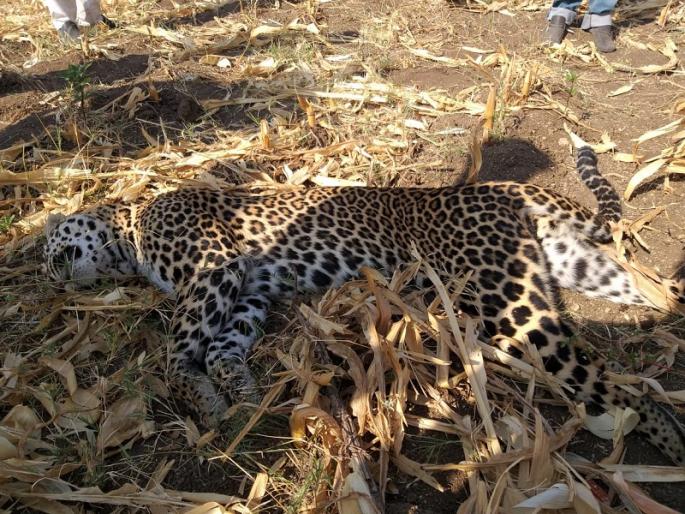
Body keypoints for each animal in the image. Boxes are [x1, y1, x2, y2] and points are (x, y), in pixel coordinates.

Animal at [44, 144, 685, 465]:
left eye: (48, 249)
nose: (51, 276)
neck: (131, 226)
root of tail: (503, 188)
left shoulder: (214, 267)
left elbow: (178, 346)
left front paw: (198, 395)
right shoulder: (247, 292)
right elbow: (224, 347)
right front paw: (239, 395)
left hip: (508, 305)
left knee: (616, 388)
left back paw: (669, 439)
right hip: (580, 267)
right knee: (661, 299)